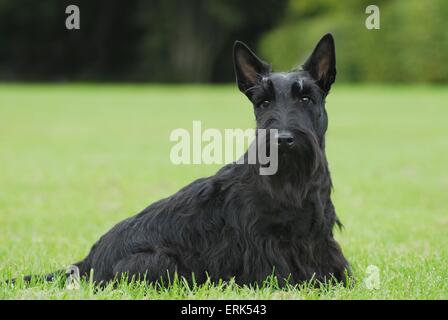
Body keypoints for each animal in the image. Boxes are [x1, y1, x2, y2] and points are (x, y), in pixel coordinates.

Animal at [21, 33, 350, 286]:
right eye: (263, 102)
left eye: (306, 98)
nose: (282, 139)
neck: (294, 182)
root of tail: (87, 262)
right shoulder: (263, 247)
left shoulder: (321, 241)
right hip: (158, 262)